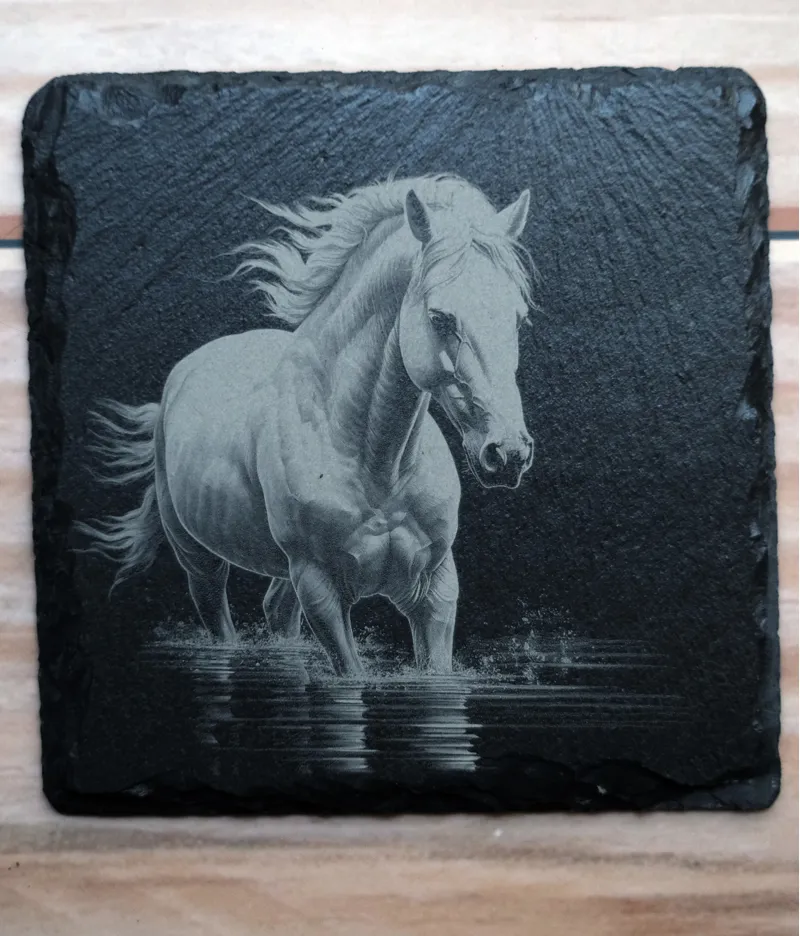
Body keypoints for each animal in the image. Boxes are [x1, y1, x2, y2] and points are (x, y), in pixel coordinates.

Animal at [79, 175, 535, 676]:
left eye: (518, 317)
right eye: (440, 317)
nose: (508, 454)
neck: (376, 466)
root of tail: (181, 376)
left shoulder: (435, 592)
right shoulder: (322, 592)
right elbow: (349, 677)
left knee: (276, 611)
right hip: (198, 558)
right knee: (216, 613)